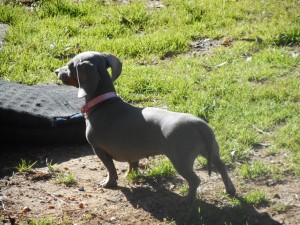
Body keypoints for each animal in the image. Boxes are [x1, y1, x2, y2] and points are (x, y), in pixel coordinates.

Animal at [55, 51, 236, 201]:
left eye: (70, 66)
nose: (56, 71)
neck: (104, 103)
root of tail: (199, 124)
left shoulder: (99, 150)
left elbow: (111, 169)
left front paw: (109, 183)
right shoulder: (133, 152)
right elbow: (132, 163)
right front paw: (131, 175)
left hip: (181, 160)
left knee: (195, 180)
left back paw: (188, 200)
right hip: (212, 152)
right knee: (222, 168)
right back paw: (230, 190)